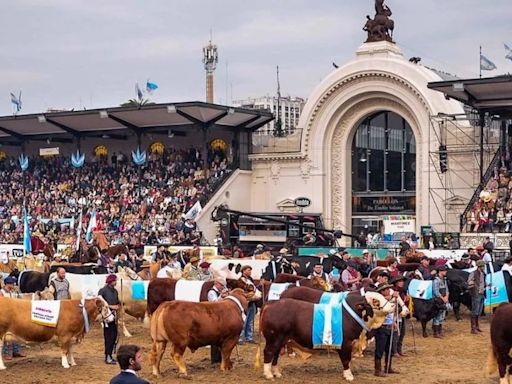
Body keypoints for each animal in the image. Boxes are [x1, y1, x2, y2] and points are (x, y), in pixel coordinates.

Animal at [256, 292, 396, 380]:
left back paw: (277, 373)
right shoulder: (345, 344)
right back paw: (268, 374)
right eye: (375, 301)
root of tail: (271, 303)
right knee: (268, 353)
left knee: (275, 356)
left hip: (281, 340)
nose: (393, 305)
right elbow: (346, 360)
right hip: (273, 339)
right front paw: (349, 376)